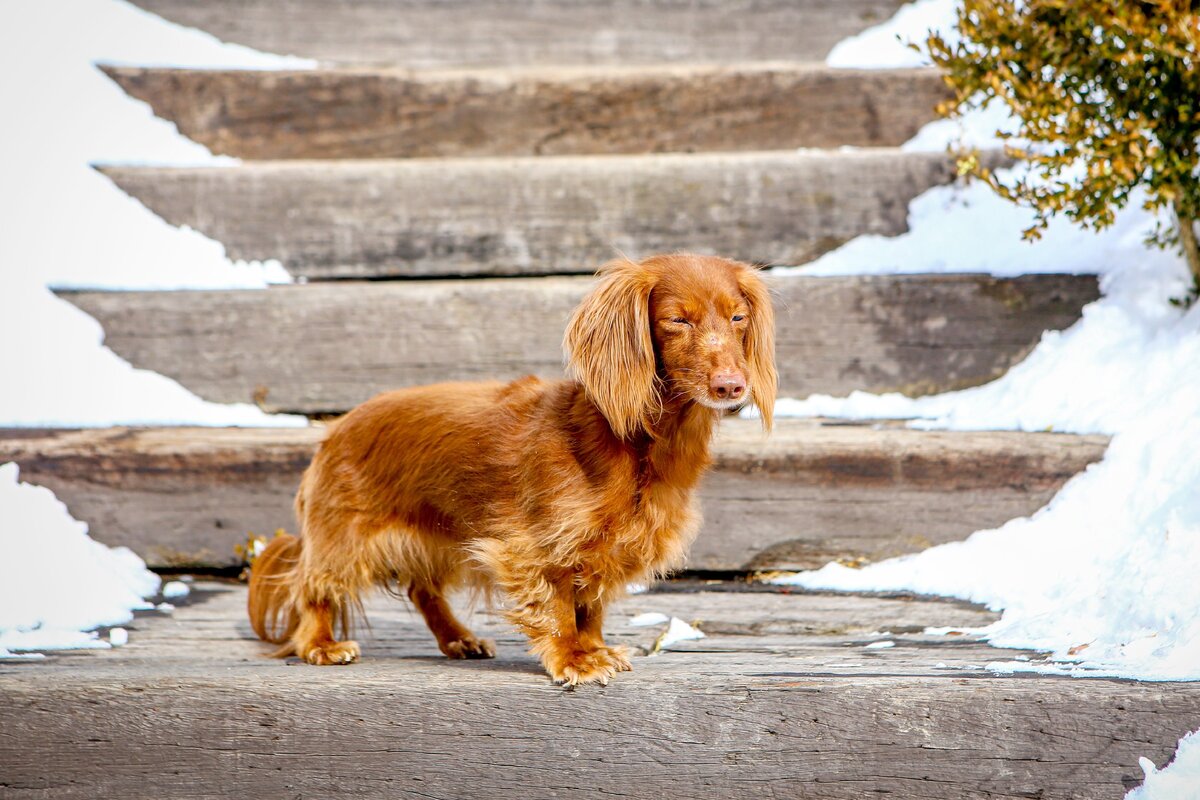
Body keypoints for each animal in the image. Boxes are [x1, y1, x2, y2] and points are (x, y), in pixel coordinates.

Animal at [248, 253, 782, 686]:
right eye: (676, 320)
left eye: (738, 316)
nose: (731, 386)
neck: (639, 442)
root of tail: (335, 427)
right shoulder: (534, 545)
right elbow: (559, 607)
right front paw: (574, 659)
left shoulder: (603, 548)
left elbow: (590, 607)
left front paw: (595, 648)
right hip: (344, 535)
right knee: (313, 590)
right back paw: (321, 645)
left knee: (422, 589)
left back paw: (458, 639)